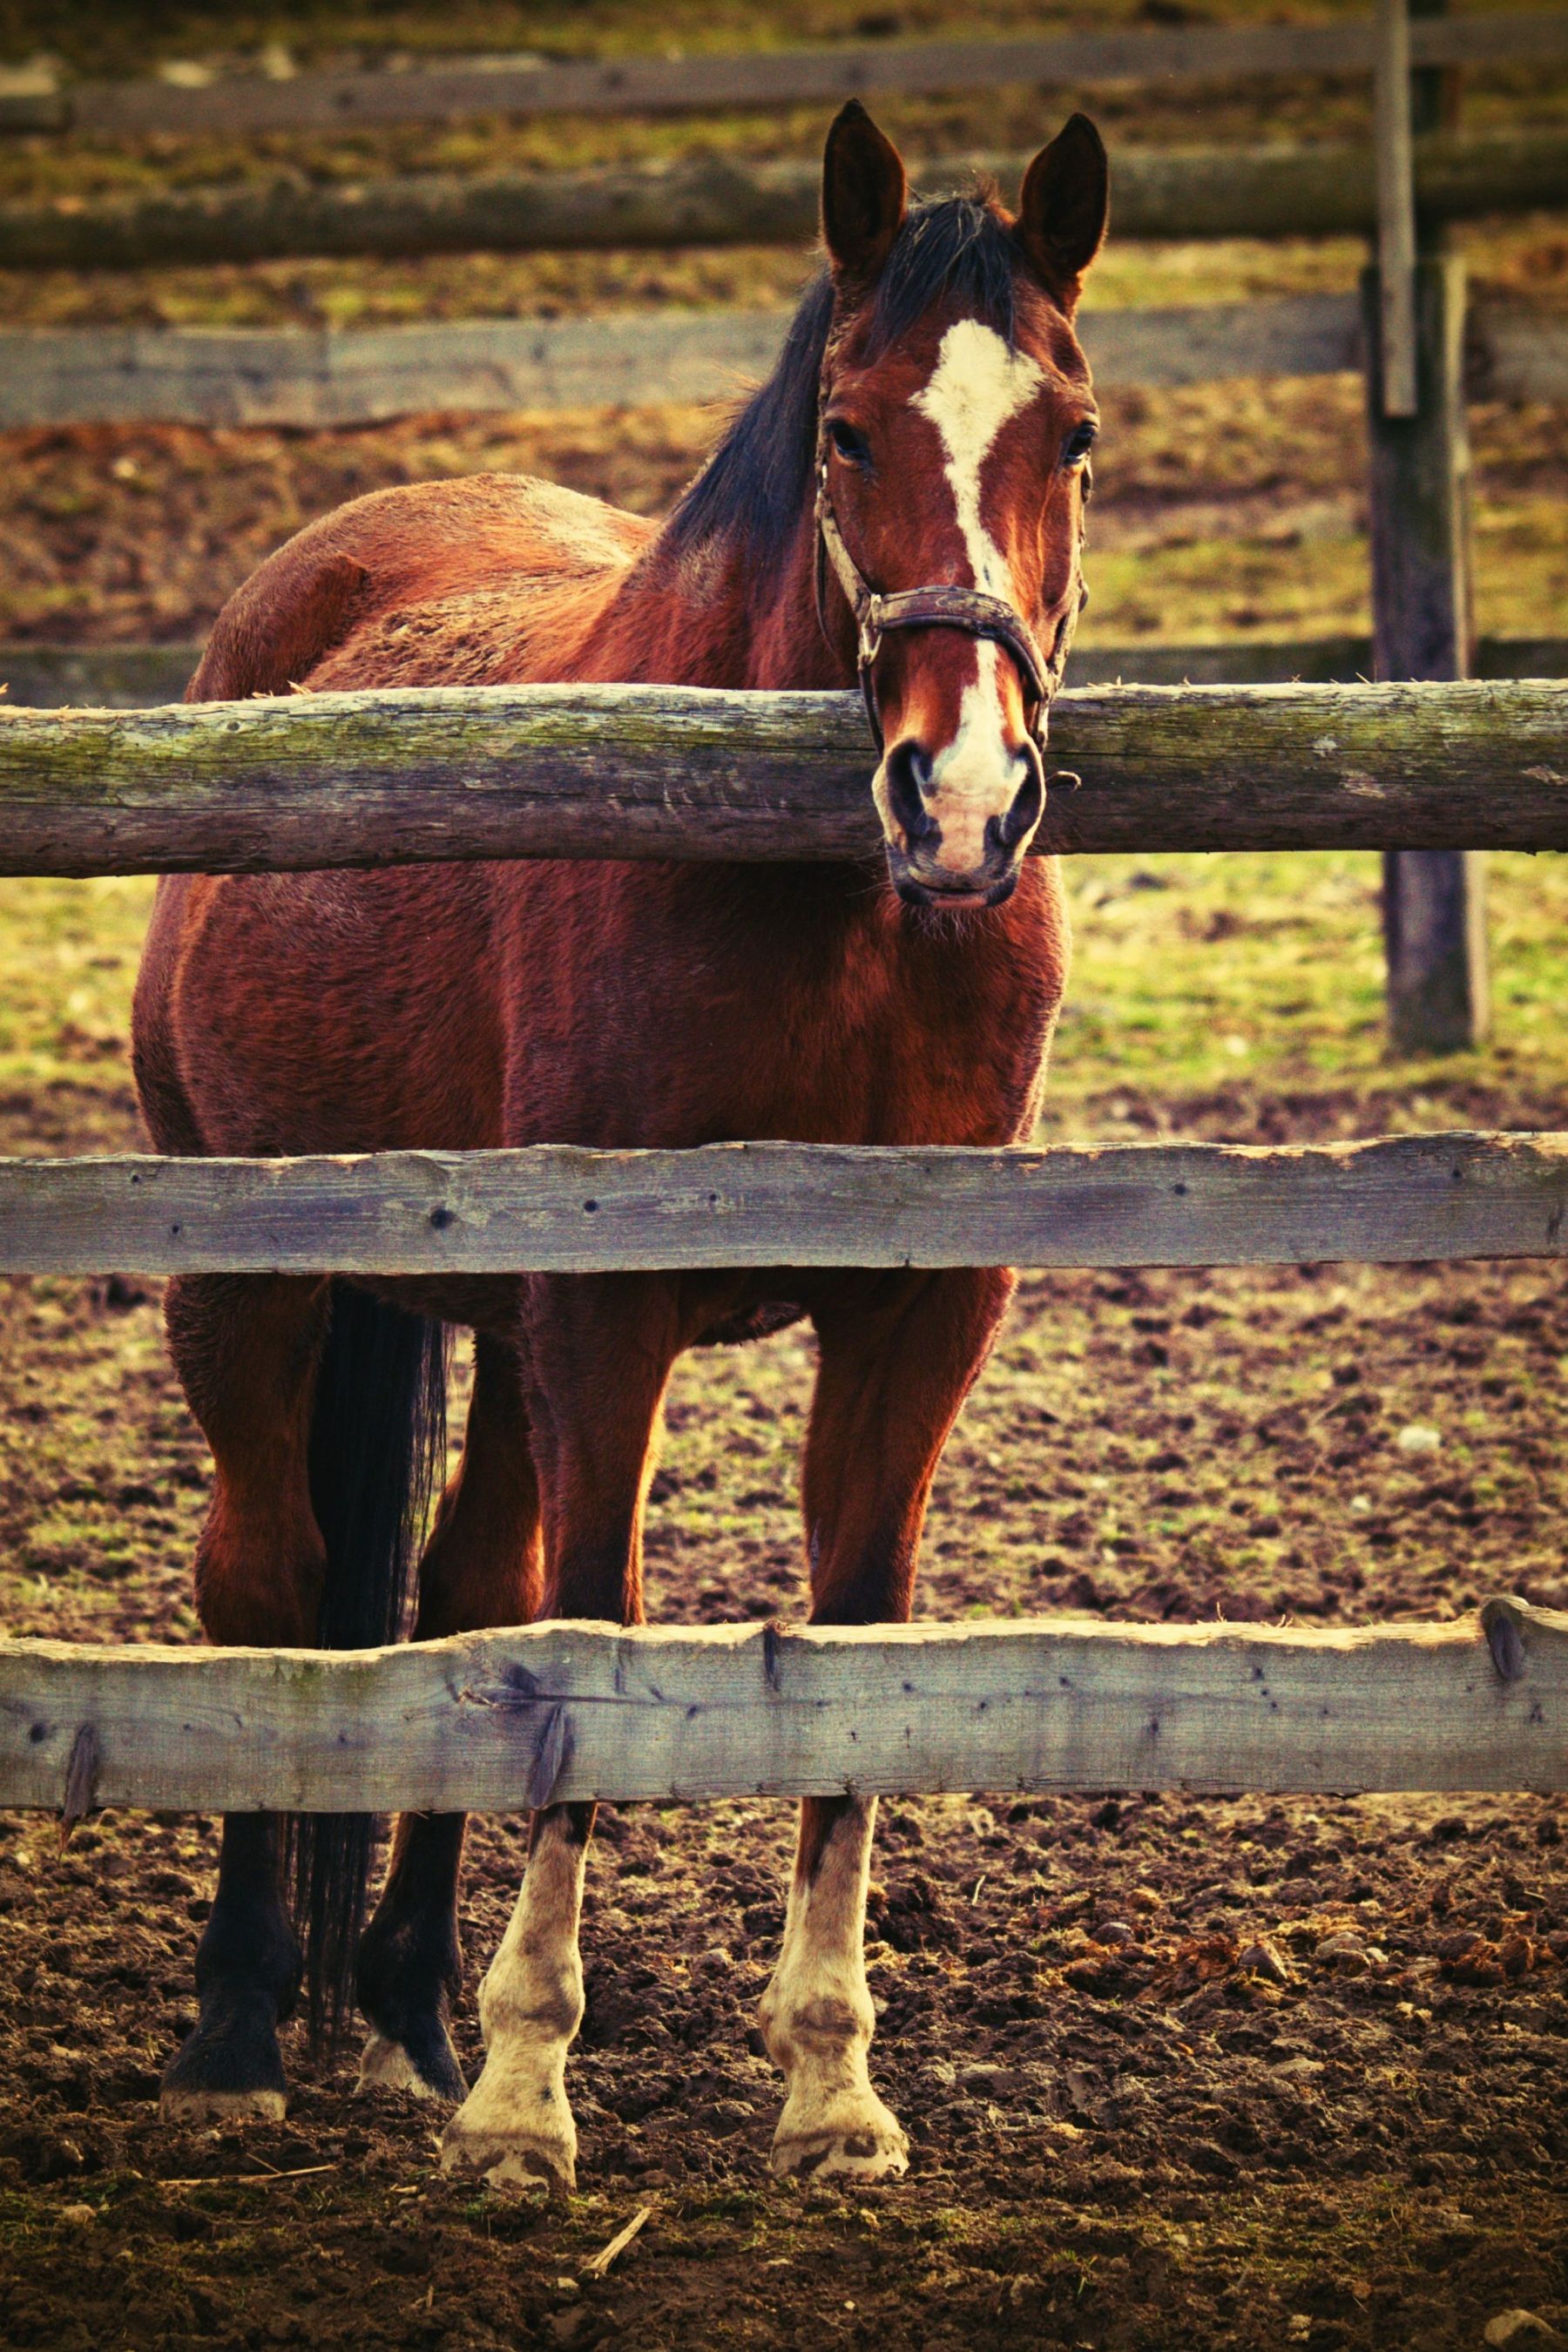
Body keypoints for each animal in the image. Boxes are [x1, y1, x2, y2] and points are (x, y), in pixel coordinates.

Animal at [135, 101, 1109, 2192]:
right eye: (849, 429)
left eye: (1070, 434)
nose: (962, 795)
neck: (833, 914)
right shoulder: (608, 1302)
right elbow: (592, 1629)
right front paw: (528, 2092)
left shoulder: (916, 1313)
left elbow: (847, 1636)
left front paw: (830, 2085)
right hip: (247, 1282)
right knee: (269, 1590)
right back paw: (246, 2024)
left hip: (486, 1327)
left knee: (450, 1597)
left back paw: (402, 2010)